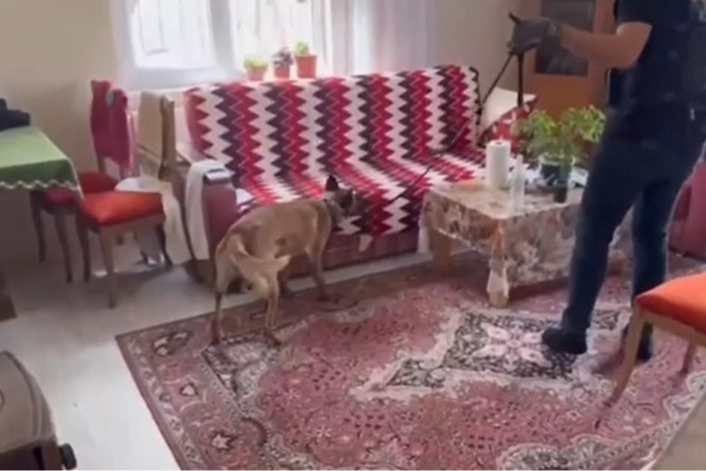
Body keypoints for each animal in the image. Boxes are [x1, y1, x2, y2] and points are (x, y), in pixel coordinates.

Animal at [211, 175, 359, 346]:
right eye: (354, 200)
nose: (362, 208)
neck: (328, 203)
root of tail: (236, 234)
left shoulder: (289, 256)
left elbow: (285, 276)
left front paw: (288, 292)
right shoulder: (314, 256)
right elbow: (321, 280)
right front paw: (328, 297)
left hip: (222, 286)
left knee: (217, 315)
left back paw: (219, 337)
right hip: (270, 282)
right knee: (267, 324)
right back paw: (275, 337)